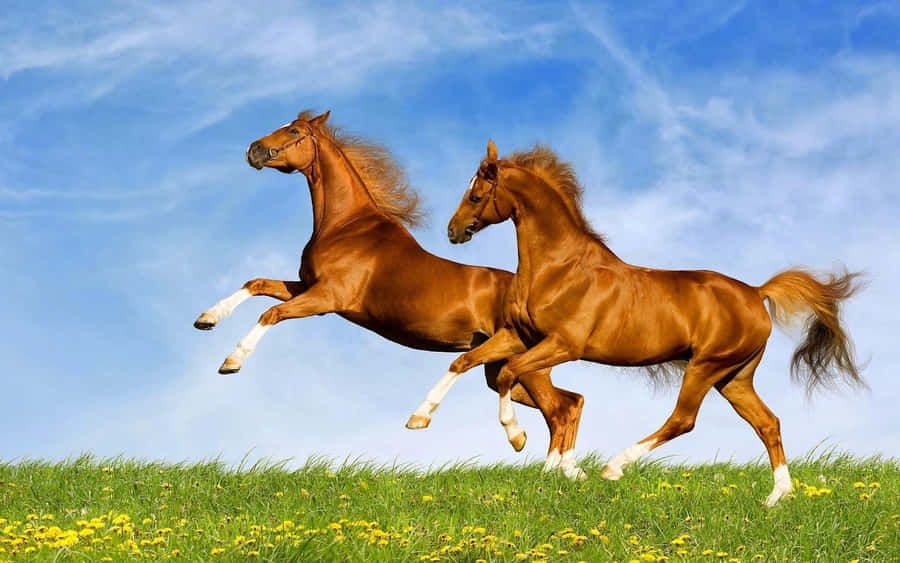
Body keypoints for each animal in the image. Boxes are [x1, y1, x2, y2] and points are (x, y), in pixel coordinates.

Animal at [193, 112, 586, 475]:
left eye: (293, 131)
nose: (253, 150)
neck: (346, 227)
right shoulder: (306, 287)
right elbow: (256, 284)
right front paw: (207, 318)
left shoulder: (326, 298)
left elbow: (270, 314)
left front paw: (231, 362)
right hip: (502, 369)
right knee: (571, 402)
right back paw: (567, 470)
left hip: (526, 367)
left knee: (561, 409)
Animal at [413, 139, 864, 505]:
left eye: (475, 195)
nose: (453, 231)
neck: (559, 268)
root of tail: (756, 292)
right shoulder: (518, 336)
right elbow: (463, 362)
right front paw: (419, 418)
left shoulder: (563, 344)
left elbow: (509, 374)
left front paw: (519, 439)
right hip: (734, 377)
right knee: (768, 423)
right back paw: (777, 497)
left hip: (706, 366)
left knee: (683, 420)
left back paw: (613, 467)